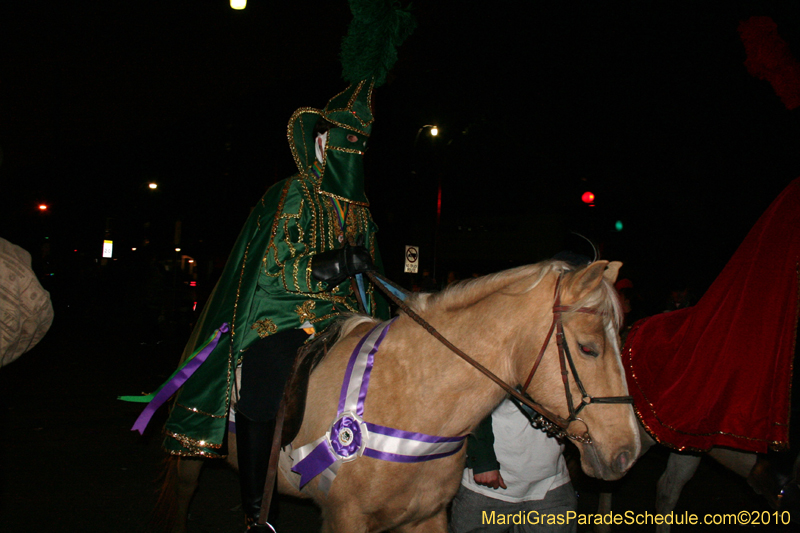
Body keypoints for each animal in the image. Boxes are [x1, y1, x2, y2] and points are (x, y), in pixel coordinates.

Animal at [159, 260, 640, 528]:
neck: (412, 399)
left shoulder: (426, 517)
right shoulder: (345, 519)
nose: (628, 452)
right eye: (589, 348)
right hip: (190, 454)